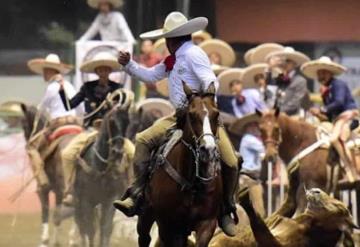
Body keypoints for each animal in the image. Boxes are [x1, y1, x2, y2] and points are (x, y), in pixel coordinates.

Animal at [20, 103, 78, 246]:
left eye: (23, 124)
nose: (28, 143)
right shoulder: (58, 192)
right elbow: (57, 216)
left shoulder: (47, 190)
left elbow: (46, 212)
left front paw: (45, 241)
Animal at [138, 83, 222, 247]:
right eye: (192, 115)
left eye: (216, 114)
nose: (208, 150)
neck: (191, 183)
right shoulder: (168, 225)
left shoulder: (207, 224)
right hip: (146, 215)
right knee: (144, 237)